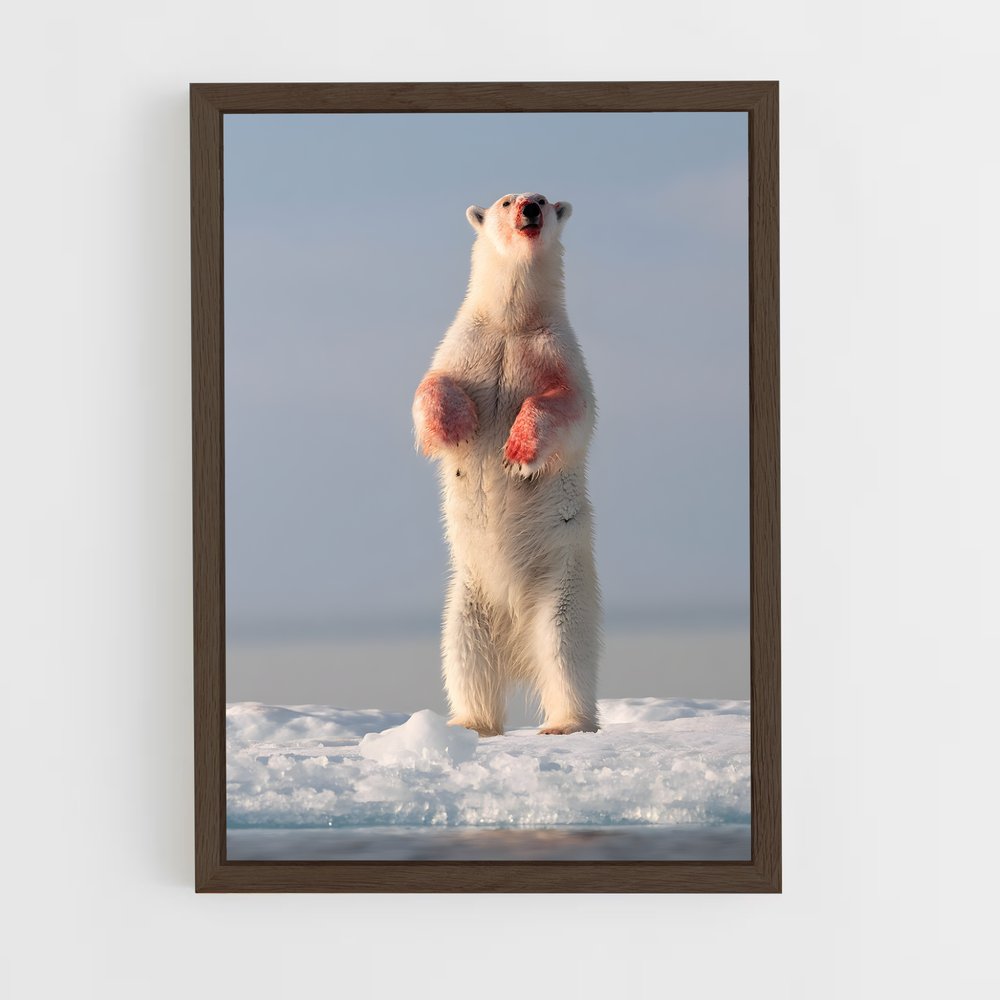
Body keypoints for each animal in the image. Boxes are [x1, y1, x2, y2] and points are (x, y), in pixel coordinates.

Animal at [412, 192, 600, 736]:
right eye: (507, 200)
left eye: (545, 199)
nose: (531, 210)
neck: (513, 323)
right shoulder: (467, 343)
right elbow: (431, 383)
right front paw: (457, 427)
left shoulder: (557, 351)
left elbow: (572, 406)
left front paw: (518, 454)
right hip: (469, 598)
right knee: (465, 656)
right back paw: (470, 722)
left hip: (562, 582)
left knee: (565, 649)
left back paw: (565, 723)